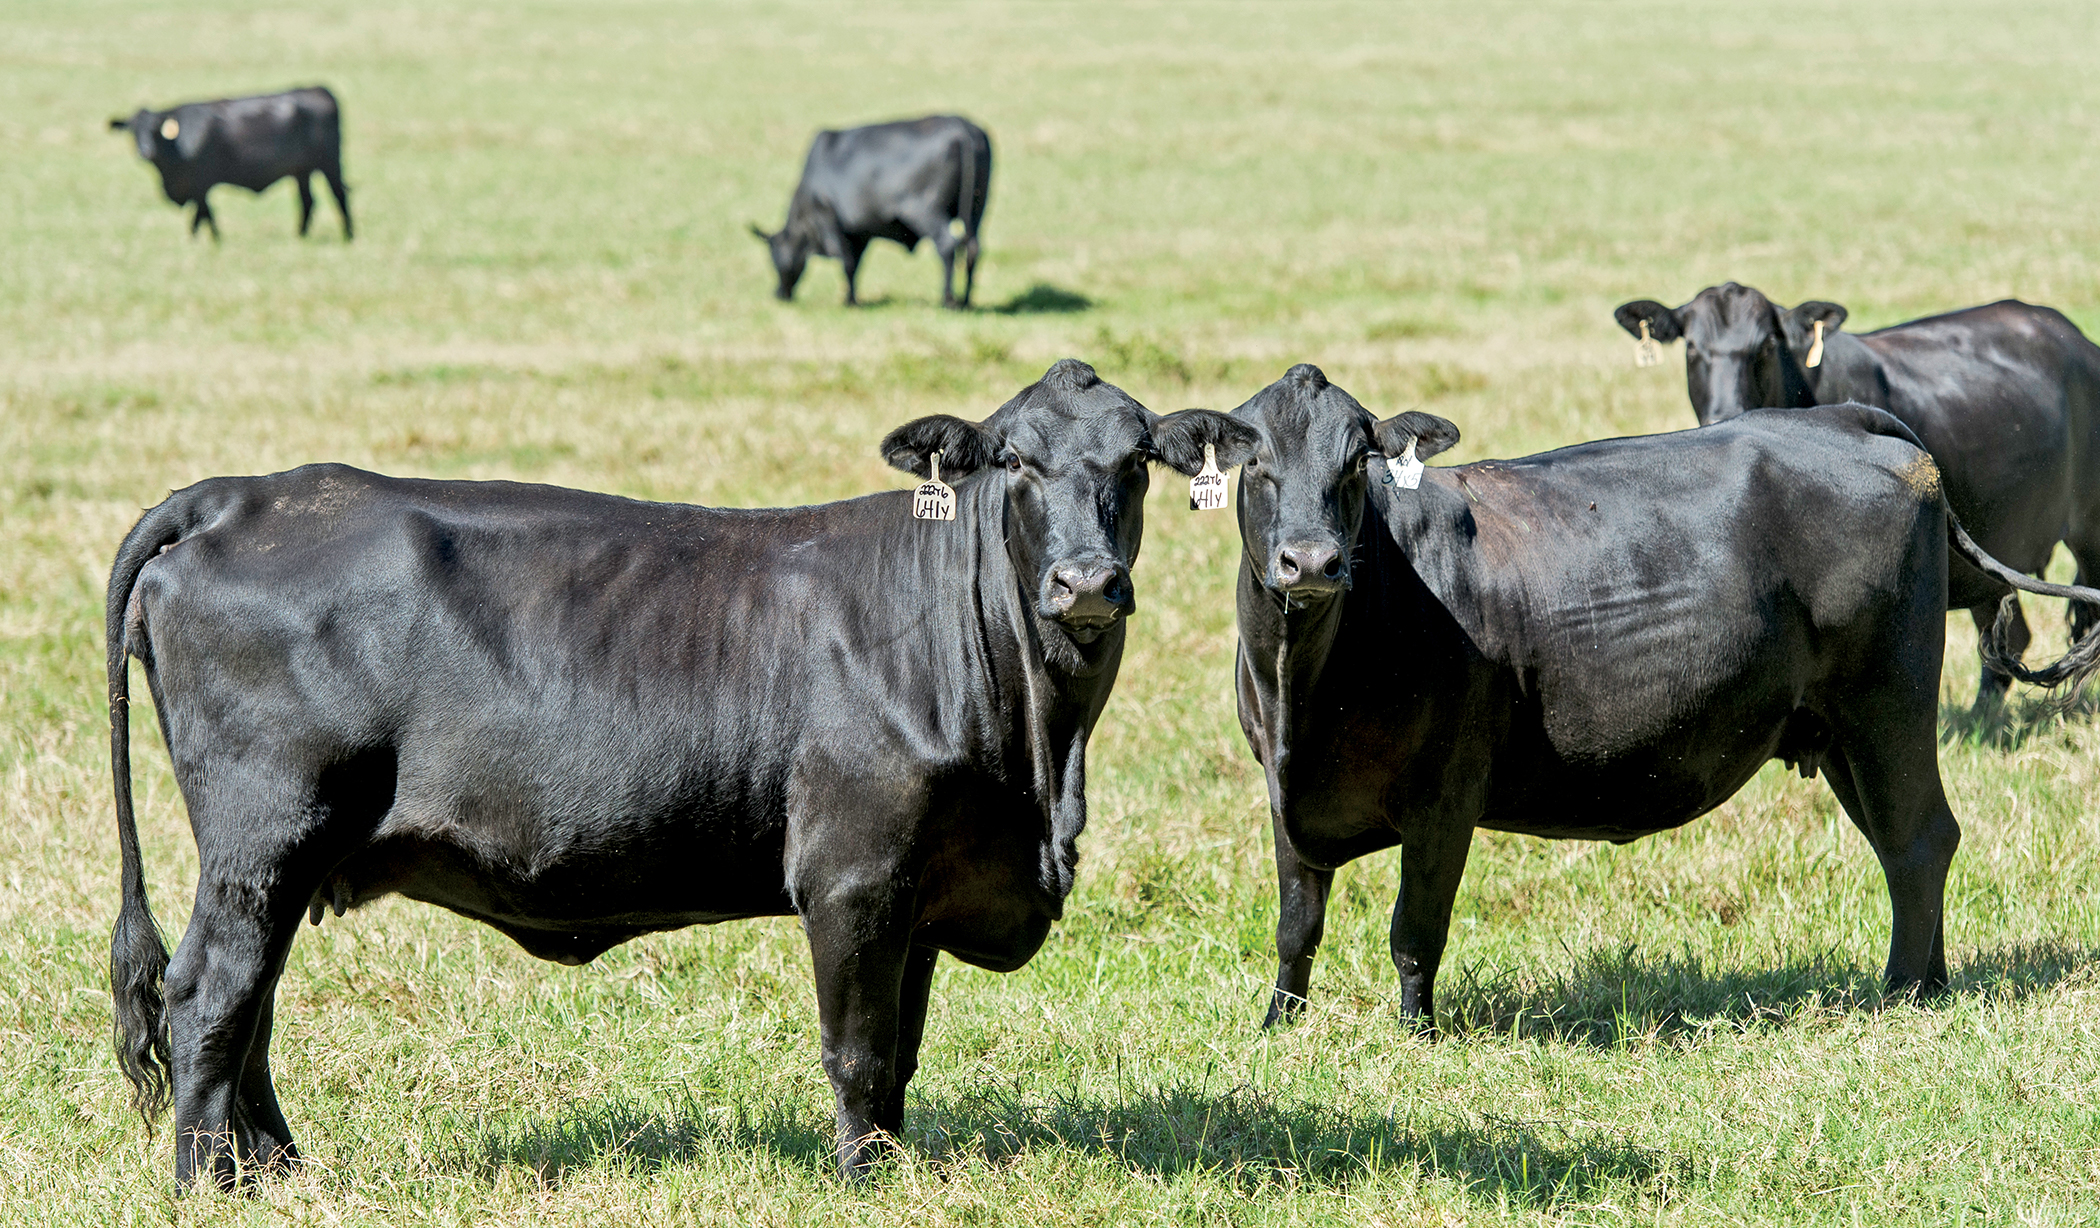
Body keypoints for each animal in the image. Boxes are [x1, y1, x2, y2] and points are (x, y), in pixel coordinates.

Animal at [106, 356, 1251, 1183]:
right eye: (1013, 458)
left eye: (1137, 461)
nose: (1086, 581)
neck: (1040, 763)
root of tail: (240, 494)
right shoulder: (851, 873)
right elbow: (859, 1050)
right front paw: (861, 1183)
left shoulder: (925, 882)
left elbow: (903, 1052)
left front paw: (893, 1166)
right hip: (264, 834)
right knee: (208, 997)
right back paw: (209, 1184)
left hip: (283, 859)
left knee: (251, 1007)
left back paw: (279, 1172)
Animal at [110, 86, 350, 239]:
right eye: (133, 131)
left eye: (154, 131)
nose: (145, 152)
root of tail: (318, 90)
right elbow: (203, 216)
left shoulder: (201, 185)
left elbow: (203, 216)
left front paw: (212, 241)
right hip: (302, 170)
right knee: (308, 201)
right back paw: (300, 236)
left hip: (330, 164)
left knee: (339, 195)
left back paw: (349, 236)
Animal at [751, 115, 986, 308]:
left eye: (773, 259)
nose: (779, 294)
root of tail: (960, 126)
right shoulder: (860, 234)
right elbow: (855, 264)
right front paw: (853, 298)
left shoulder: (828, 219)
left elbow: (846, 260)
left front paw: (849, 302)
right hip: (976, 210)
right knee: (973, 247)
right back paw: (966, 301)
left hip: (924, 211)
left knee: (947, 244)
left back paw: (948, 300)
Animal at [1226, 361, 2100, 1024]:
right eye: (1255, 463)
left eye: (1356, 464)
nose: (1312, 562)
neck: (1304, 687)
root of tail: (1845, 420)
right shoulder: (1283, 791)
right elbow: (1296, 926)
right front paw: (1279, 1026)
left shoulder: (1445, 794)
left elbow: (1415, 930)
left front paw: (1417, 1037)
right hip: (1838, 731)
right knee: (1907, 841)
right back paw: (1933, 983)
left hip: (1888, 706)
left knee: (1919, 841)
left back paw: (1901, 994)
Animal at [1604, 283, 2100, 713]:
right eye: (1692, 349)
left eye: (1765, 346)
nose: (1722, 413)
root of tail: (2071, 334)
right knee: (2009, 636)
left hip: (2086, 533)